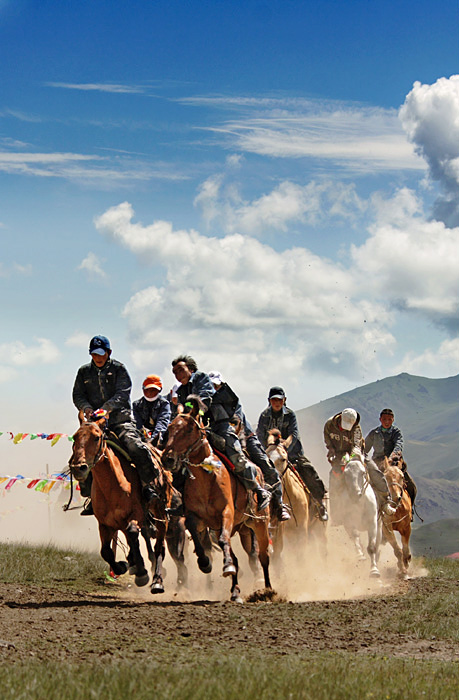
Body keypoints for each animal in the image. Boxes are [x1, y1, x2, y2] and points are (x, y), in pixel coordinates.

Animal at [68, 410, 183, 596]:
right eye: (75, 437)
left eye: (96, 437)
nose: (78, 467)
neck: (112, 485)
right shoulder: (105, 524)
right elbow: (106, 551)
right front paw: (122, 566)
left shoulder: (136, 515)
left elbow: (133, 533)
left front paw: (142, 573)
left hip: (161, 515)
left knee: (159, 547)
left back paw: (157, 581)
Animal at [161, 394, 272, 600]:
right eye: (170, 428)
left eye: (189, 429)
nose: (167, 459)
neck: (207, 477)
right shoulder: (195, 518)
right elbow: (200, 543)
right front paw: (205, 563)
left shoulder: (226, 513)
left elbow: (222, 541)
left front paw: (226, 566)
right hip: (242, 528)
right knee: (240, 556)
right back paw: (235, 591)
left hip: (259, 523)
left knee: (263, 556)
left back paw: (268, 590)